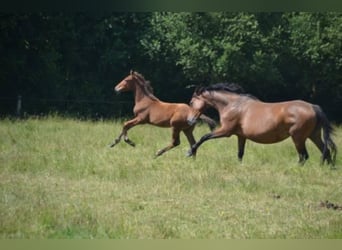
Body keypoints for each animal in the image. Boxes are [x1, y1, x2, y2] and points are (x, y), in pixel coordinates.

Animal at [187, 83, 336, 166]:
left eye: (191, 102)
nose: (190, 121)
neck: (233, 105)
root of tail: (313, 107)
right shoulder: (241, 136)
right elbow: (240, 153)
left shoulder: (225, 131)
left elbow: (204, 137)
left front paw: (190, 152)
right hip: (313, 135)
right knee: (326, 151)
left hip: (298, 138)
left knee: (304, 156)